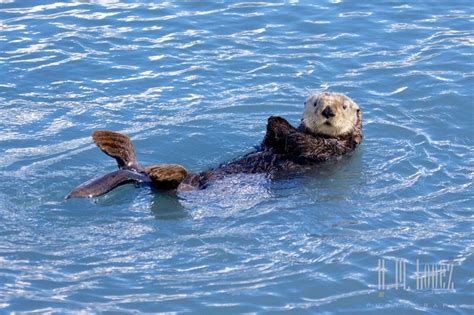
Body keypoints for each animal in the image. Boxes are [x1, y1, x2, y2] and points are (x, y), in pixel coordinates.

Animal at [67, 92, 362, 199]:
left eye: (343, 106)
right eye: (316, 102)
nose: (327, 111)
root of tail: (142, 177)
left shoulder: (330, 150)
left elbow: (301, 142)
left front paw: (278, 121)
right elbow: (272, 140)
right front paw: (274, 122)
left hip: (181, 187)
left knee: (167, 185)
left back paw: (164, 172)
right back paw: (110, 139)